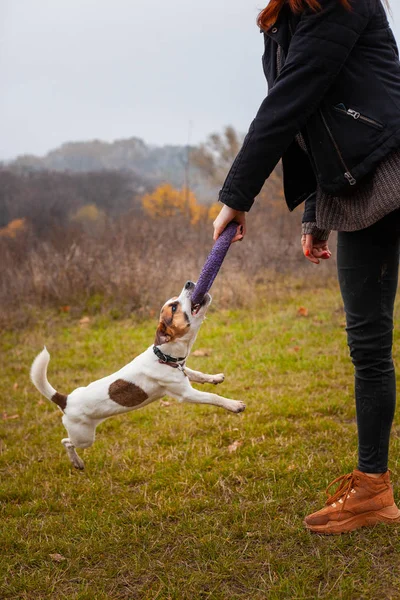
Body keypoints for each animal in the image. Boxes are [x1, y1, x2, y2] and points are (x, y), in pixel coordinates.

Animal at [30, 280, 244, 468]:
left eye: (174, 301)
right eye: (174, 308)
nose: (189, 283)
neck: (163, 355)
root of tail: (64, 400)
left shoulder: (182, 370)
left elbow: (197, 374)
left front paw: (215, 378)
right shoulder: (186, 394)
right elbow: (212, 397)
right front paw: (234, 405)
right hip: (83, 437)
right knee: (66, 442)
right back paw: (77, 462)